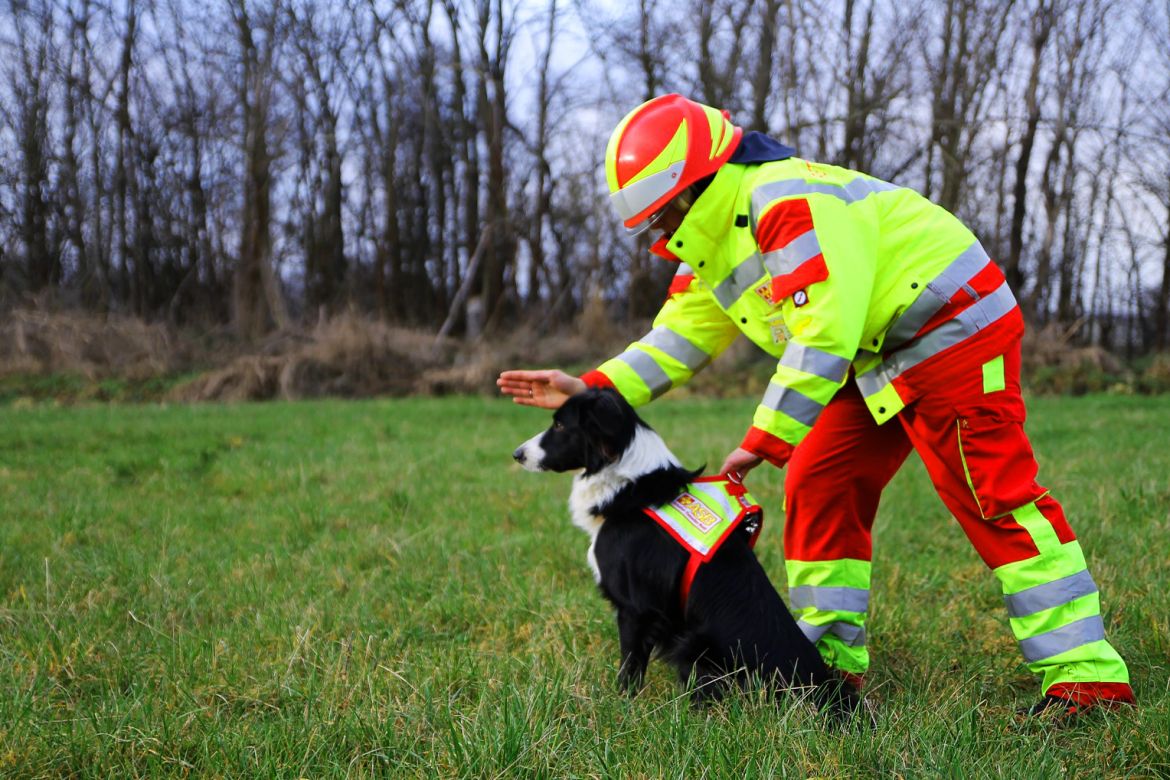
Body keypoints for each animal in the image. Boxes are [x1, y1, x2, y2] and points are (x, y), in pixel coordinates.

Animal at [512, 388, 861, 715]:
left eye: (559, 424)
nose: (517, 454)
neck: (629, 484)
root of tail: (822, 690)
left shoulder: (636, 608)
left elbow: (630, 665)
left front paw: (621, 705)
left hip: (693, 645)